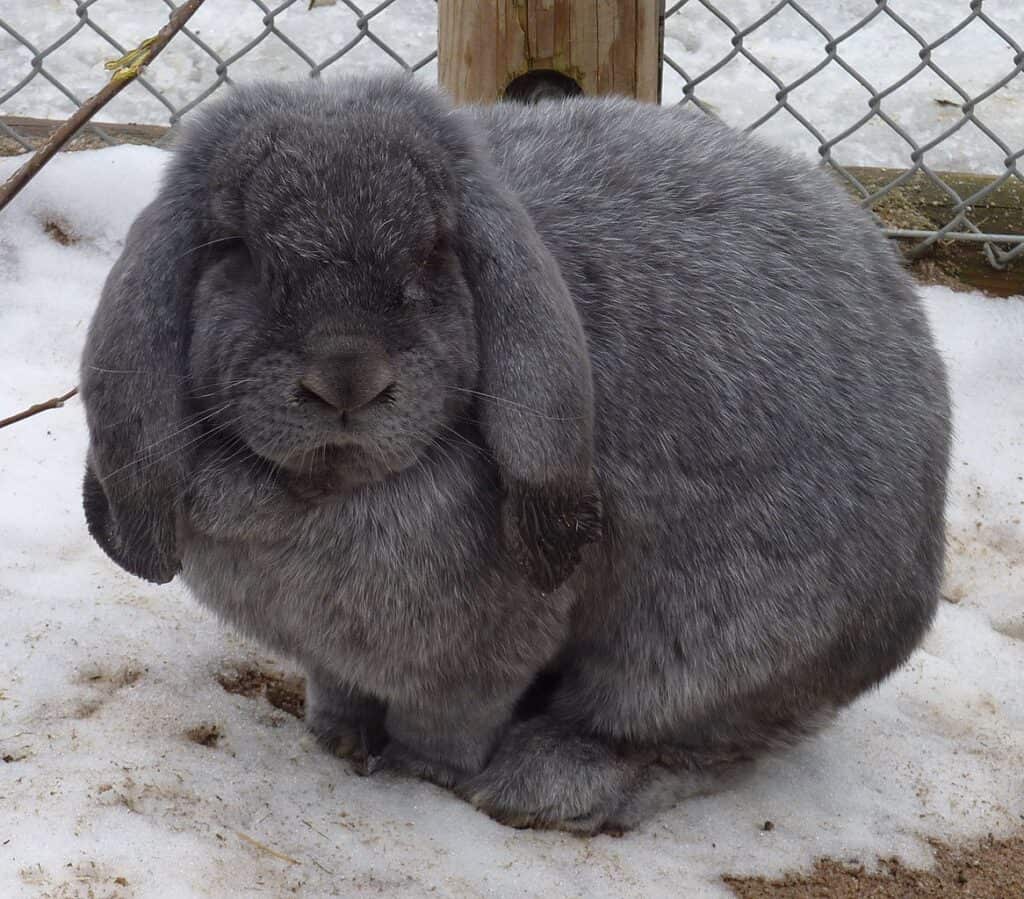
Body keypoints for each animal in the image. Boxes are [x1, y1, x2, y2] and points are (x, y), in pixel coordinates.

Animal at [79, 73, 950, 835]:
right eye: (235, 249)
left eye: (435, 250)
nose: (346, 379)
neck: (319, 493)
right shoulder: (334, 657)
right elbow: (339, 690)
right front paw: (336, 738)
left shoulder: (476, 658)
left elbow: (448, 719)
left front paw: (418, 773)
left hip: (708, 645)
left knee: (693, 737)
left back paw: (546, 783)